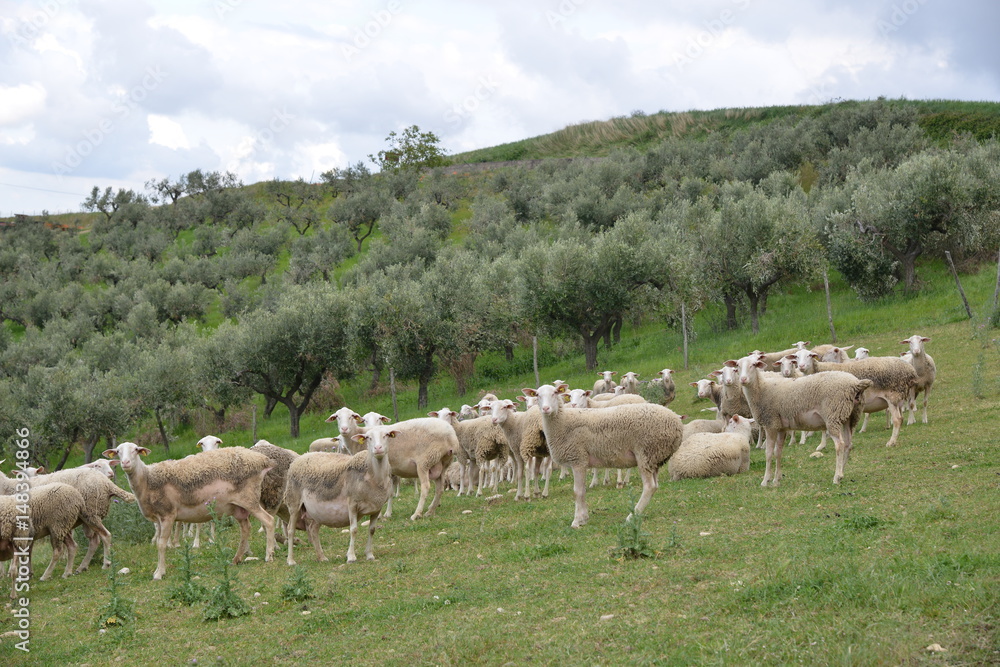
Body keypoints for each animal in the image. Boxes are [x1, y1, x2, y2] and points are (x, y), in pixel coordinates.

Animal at [103, 442, 276, 580]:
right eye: (118, 451)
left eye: (136, 450)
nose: (125, 463)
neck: (147, 479)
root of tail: (262, 460)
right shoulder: (159, 518)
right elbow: (159, 542)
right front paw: (158, 570)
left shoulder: (167, 515)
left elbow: (161, 544)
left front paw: (159, 573)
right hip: (238, 507)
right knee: (246, 528)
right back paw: (236, 559)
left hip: (249, 499)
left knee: (269, 521)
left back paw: (269, 555)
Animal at [284, 424, 395, 566]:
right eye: (368, 437)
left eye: (386, 435)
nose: (378, 448)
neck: (372, 475)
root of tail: (301, 457)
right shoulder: (352, 503)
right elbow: (353, 529)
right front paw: (351, 556)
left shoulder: (377, 508)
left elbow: (372, 530)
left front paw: (369, 554)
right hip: (294, 502)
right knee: (290, 530)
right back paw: (290, 560)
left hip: (316, 511)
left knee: (313, 530)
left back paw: (322, 557)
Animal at [521, 383, 683, 528]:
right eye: (537, 395)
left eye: (555, 393)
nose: (546, 408)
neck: (563, 422)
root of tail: (677, 423)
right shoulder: (581, 462)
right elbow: (583, 491)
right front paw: (584, 518)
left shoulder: (578, 459)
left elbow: (577, 492)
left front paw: (577, 521)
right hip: (654, 455)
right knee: (655, 486)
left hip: (645, 453)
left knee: (649, 486)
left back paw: (631, 516)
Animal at [730, 352, 871, 487]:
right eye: (737, 366)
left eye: (754, 365)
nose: (743, 379)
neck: (761, 389)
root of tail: (855, 384)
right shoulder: (781, 427)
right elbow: (778, 452)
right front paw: (776, 480)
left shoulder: (771, 424)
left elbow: (769, 453)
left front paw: (765, 481)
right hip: (850, 415)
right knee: (848, 444)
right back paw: (842, 472)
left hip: (833, 414)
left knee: (840, 445)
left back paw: (837, 477)